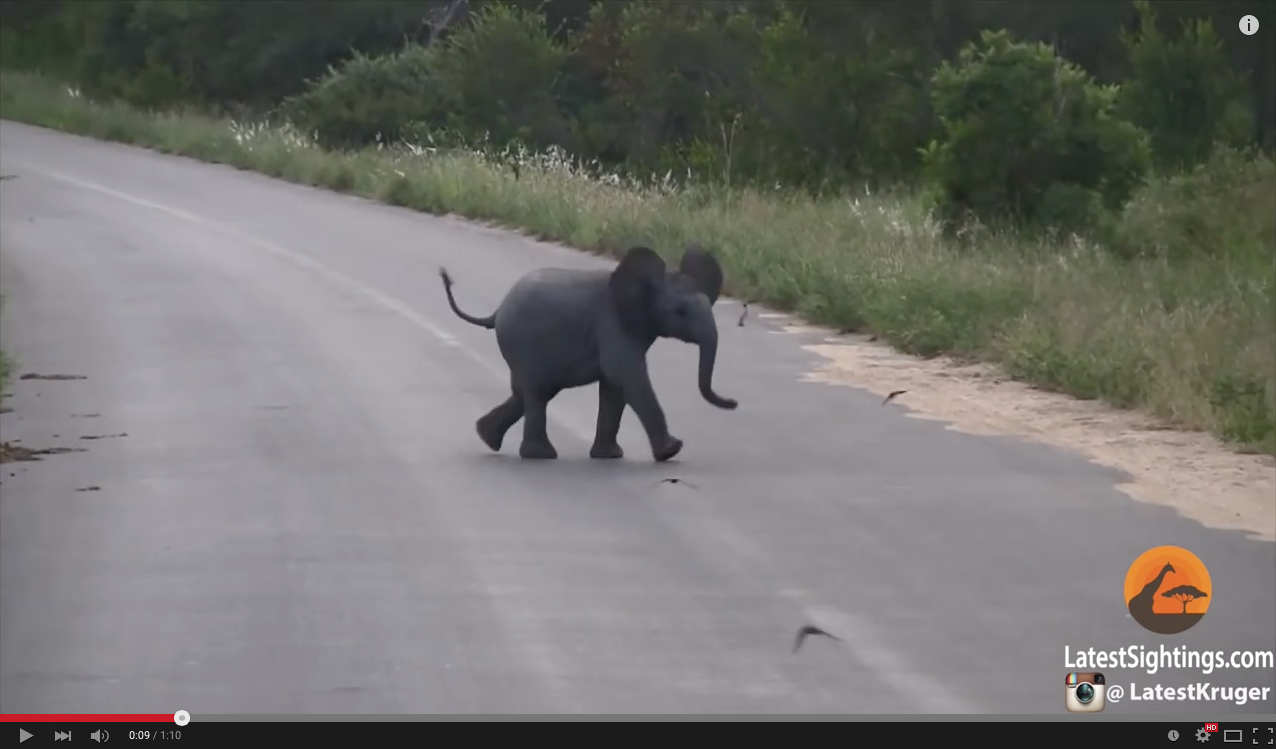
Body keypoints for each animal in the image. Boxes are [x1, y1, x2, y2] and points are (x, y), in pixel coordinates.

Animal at [438, 244, 738, 462]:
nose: (734, 402)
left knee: (531, 392)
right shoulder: (613, 326)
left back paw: (488, 437)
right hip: (522, 343)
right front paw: (671, 451)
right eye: (681, 312)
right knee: (536, 392)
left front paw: (610, 457)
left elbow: (614, 388)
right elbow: (629, 378)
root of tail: (497, 311)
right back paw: (540, 456)